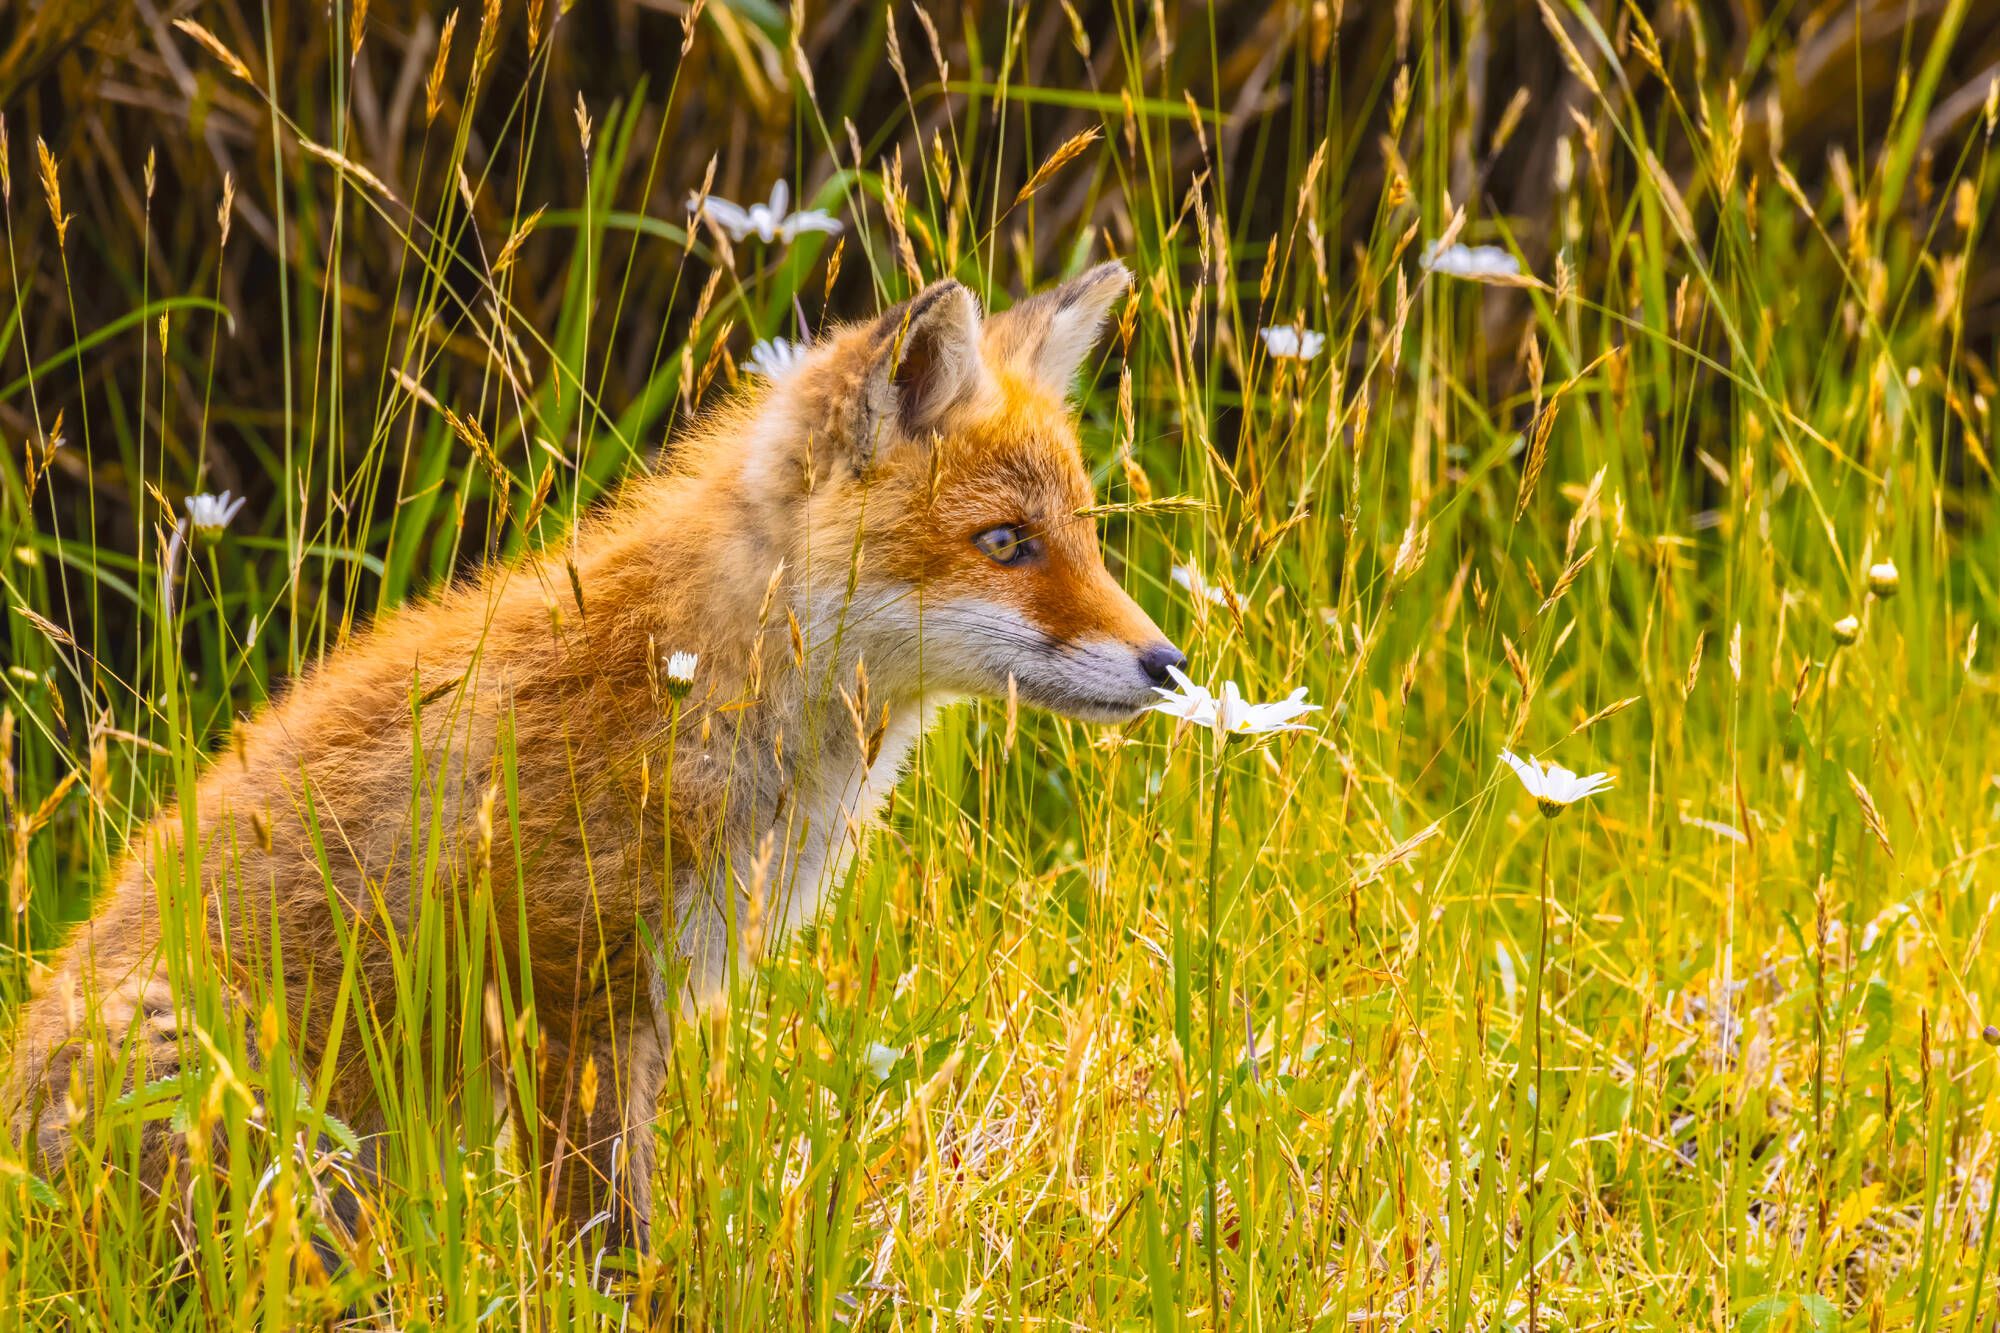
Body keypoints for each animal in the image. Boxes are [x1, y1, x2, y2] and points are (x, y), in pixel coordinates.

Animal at [3, 260, 1183, 1245]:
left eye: (1085, 535)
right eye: (1005, 544)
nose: (1168, 664)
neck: (697, 682)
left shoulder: (638, 1005)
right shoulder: (568, 988)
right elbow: (607, 1240)